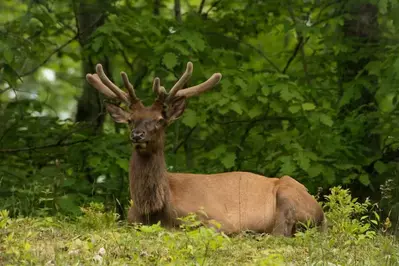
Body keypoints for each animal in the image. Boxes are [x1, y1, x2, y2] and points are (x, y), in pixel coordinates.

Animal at [86, 62, 326, 237]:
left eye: (160, 120)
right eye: (130, 120)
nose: (137, 135)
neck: (155, 209)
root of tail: (322, 214)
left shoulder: (220, 219)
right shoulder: (130, 221)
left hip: (289, 195)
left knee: (280, 232)